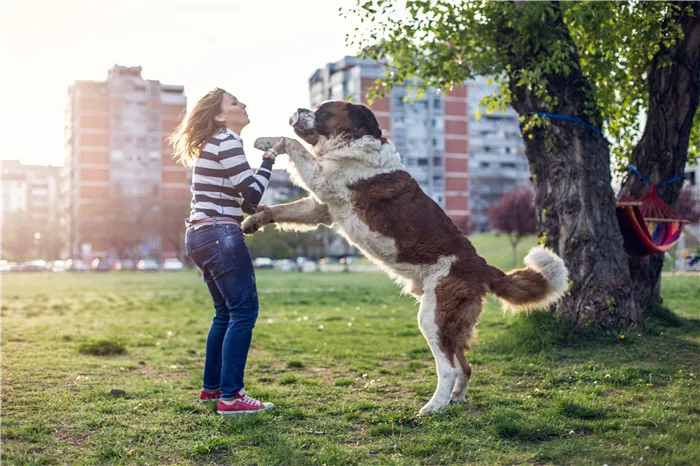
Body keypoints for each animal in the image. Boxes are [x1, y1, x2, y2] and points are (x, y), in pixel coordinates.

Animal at [243, 101, 568, 416]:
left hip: (433, 317)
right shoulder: (321, 207)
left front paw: (267, 140)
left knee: (449, 368)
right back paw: (455, 400)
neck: (352, 142)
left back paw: (434, 407)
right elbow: (285, 210)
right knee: (465, 365)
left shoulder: (325, 181)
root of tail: (482, 265)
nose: (298, 110)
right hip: (450, 321)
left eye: (322, 110)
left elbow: (293, 145)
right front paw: (253, 220)